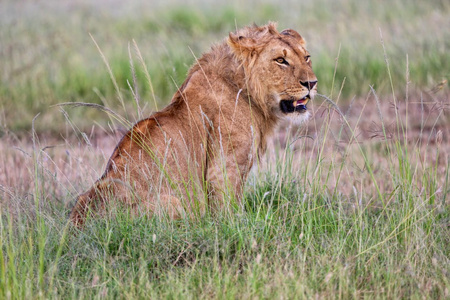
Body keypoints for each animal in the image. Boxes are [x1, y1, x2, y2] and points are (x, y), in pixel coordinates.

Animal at [69, 22, 316, 225]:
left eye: (306, 57)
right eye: (280, 60)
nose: (312, 83)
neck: (245, 89)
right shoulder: (224, 167)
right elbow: (228, 209)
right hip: (174, 203)